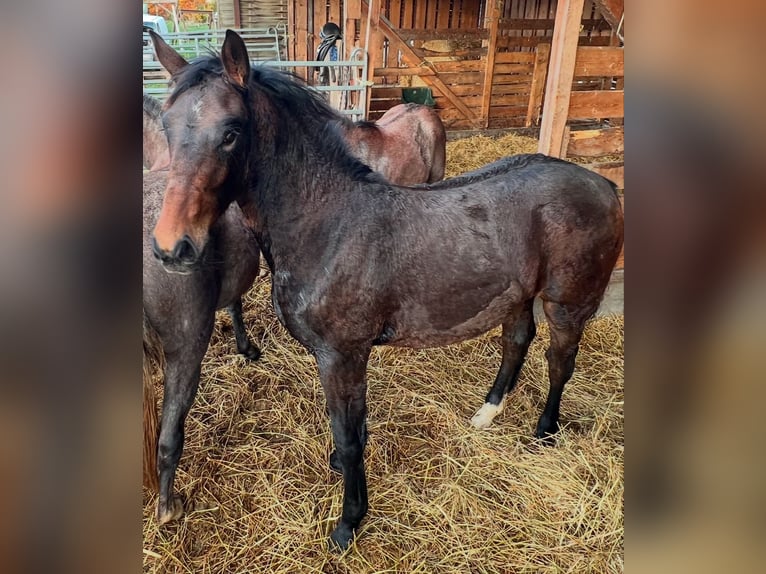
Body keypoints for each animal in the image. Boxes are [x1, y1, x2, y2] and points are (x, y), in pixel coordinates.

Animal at [148, 30, 624, 548]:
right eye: (167, 126)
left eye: (231, 132)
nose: (171, 247)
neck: (326, 223)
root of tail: (604, 184)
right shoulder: (344, 357)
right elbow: (351, 427)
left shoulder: (342, 354)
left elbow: (348, 435)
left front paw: (349, 521)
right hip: (516, 295)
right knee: (516, 341)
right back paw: (486, 414)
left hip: (567, 302)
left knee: (560, 362)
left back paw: (544, 430)